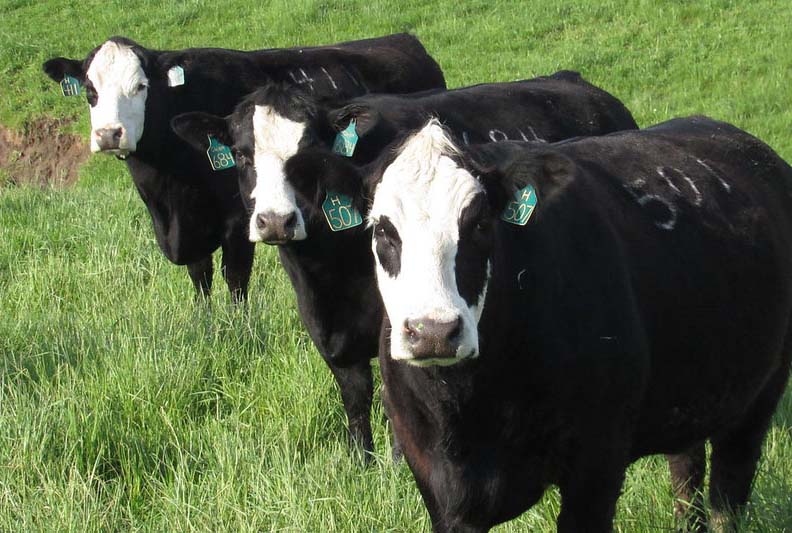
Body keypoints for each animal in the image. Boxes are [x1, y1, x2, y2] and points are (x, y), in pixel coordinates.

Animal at [41, 33, 446, 302]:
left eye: (141, 86)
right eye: (90, 90)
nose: (109, 134)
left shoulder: (237, 220)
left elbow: (234, 277)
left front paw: (239, 327)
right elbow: (200, 276)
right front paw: (205, 324)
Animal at [172, 71, 636, 458]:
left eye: (308, 155)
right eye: (241, 154)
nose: (275, 221)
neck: (328, 271)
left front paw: (398, 461)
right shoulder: (325, 328)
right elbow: (355, 395)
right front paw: (360, 460)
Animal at [364, 118, 792, 528]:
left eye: (481, 224)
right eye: (383, 229)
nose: (432, 331)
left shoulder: (598, 462)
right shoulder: (437, 484)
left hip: (760, 395)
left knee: (728, 492)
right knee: (687, 470)